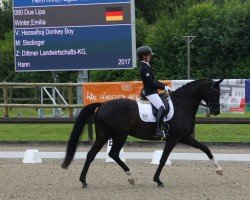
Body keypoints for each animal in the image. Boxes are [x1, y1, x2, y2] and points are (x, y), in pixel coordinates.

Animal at [61, 79, 224, 188]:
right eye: (215, 93)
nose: (217, 111)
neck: (182, 104)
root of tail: (102, 105)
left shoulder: (184, 137)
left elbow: (205, 148)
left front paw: (219, 169)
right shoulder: (173, 138)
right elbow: (163, 159)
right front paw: (158, 180)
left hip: (104, 136)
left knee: (91, 154)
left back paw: (84, 181)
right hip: (120, 135)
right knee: (113, 153)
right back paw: (131, 177)